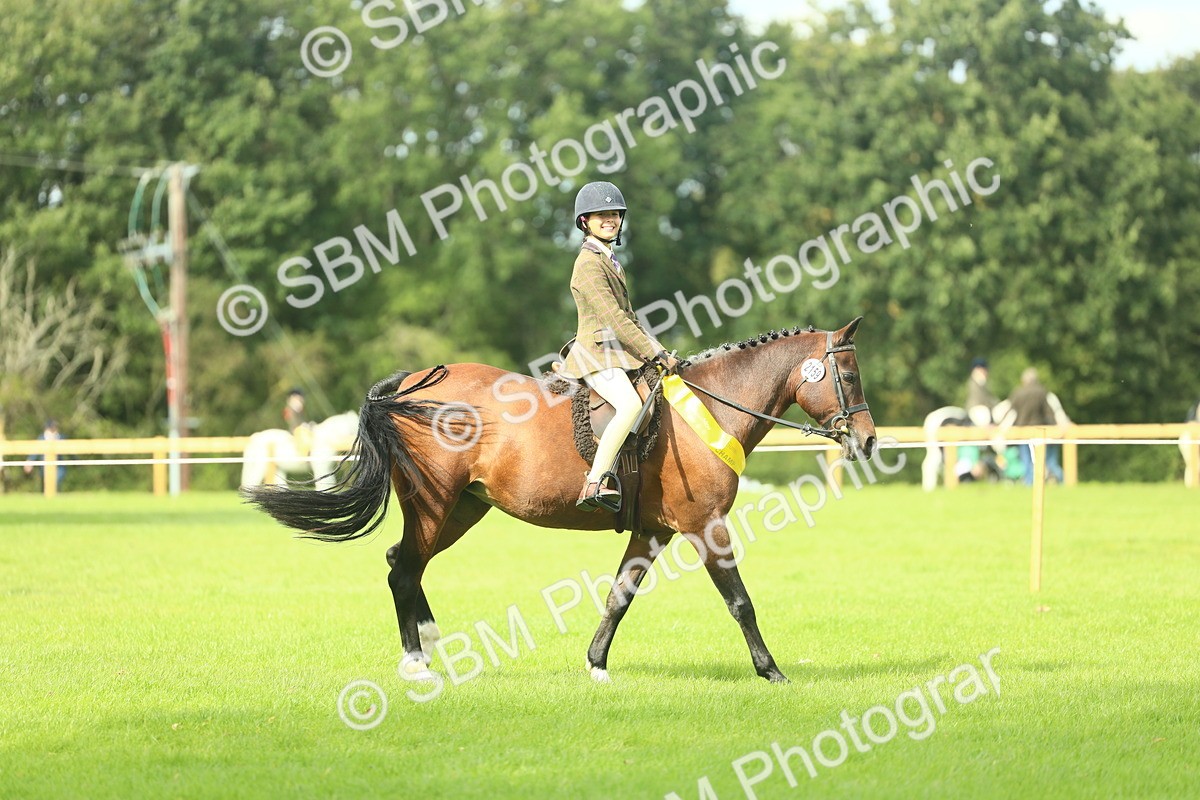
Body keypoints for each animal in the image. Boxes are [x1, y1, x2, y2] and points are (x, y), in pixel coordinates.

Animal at [244, 318, 876, 684]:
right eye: (848, 375)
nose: (868, 441)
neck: (711, 406)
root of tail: (407, 384)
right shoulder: (705, 524)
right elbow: (740, 602)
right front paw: (772, 673)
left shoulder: (654, 529)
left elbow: (619, 596)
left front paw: (596, 665)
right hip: (432, 502)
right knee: (404, 567)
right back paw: (417, 663)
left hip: (462, 508)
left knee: (406, 564)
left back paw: (428, 644)